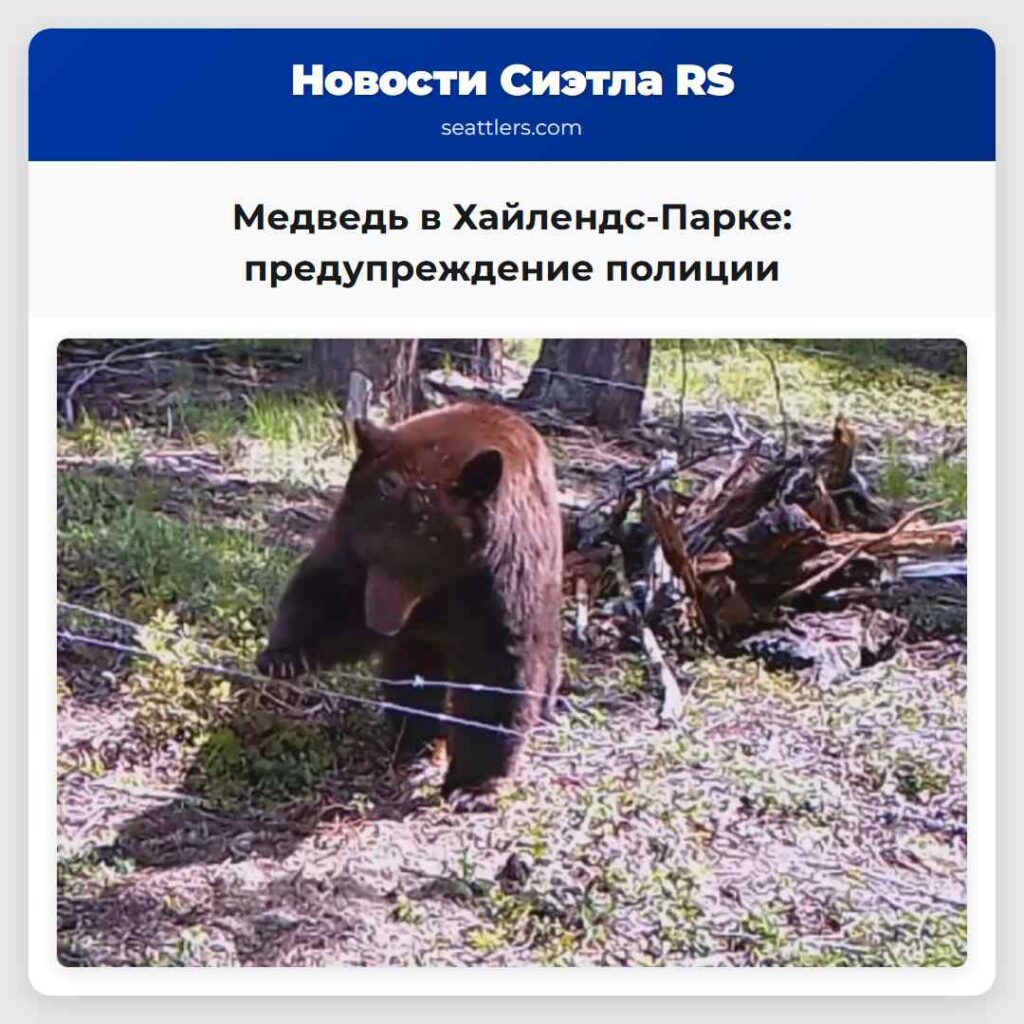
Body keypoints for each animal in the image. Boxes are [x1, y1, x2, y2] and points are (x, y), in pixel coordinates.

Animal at [257, 402, 563, 798]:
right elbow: (330, 592)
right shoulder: (348, 543)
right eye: (370, 555)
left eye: (419, 566)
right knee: (412, 669)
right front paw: (282, 657)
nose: (380, 622)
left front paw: (472, 785)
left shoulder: (500, 573)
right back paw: (415, 737)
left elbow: (498, 665)